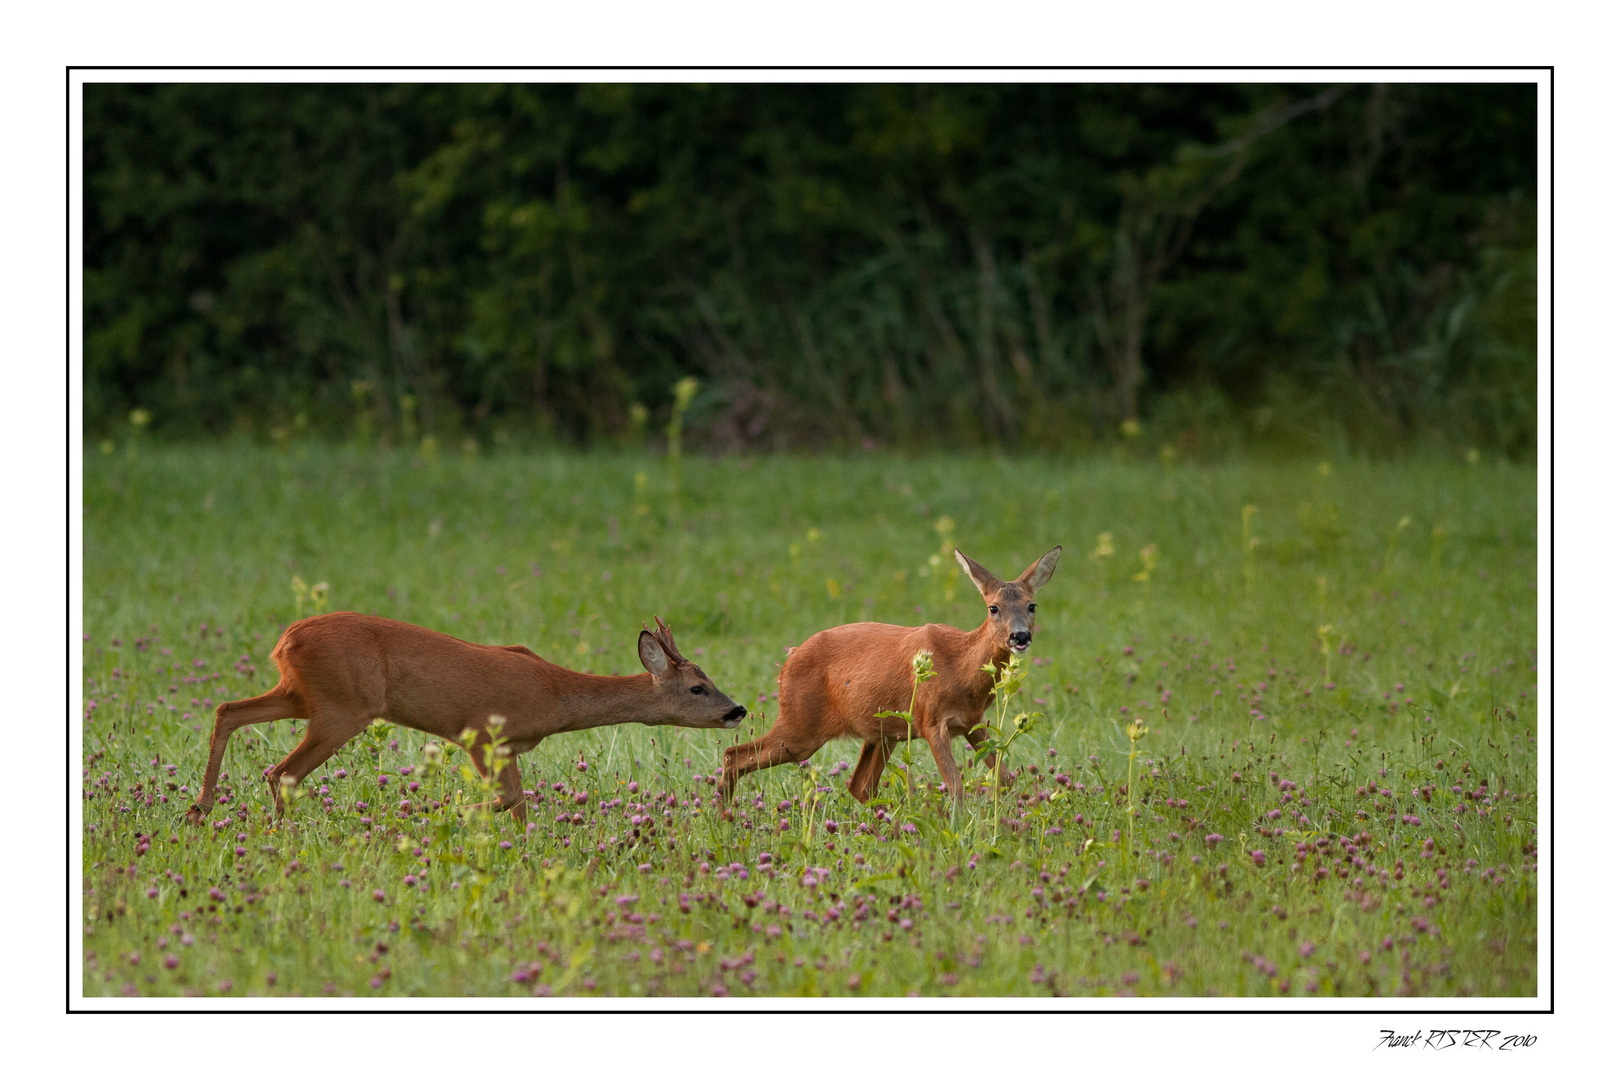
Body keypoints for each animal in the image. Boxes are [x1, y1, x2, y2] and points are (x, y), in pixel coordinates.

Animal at [186, 612, 741, 835]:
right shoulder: (479, 731)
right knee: (282, 771)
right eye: (698, 687)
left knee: (228, 711)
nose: (737, 710)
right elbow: (507, 797)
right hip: (343, 708)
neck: (554, 696)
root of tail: (287, 639)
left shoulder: (510, 746)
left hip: (303, 695)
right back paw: (275, 834)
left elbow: (519, 803)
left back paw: (199, 809)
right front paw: (443, 816)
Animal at [725, 544, 1062, 806]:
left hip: (881, 733)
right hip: (801, 725)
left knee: (860, 785)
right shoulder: (930, 719)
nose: (1020, 636)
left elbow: (1005, 779)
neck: (959, 669)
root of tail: (789, 658)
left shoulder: (971, 721)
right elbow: (956, 787)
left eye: (1031, 605)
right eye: (993, 608)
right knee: (733, 754)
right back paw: (724, 813)